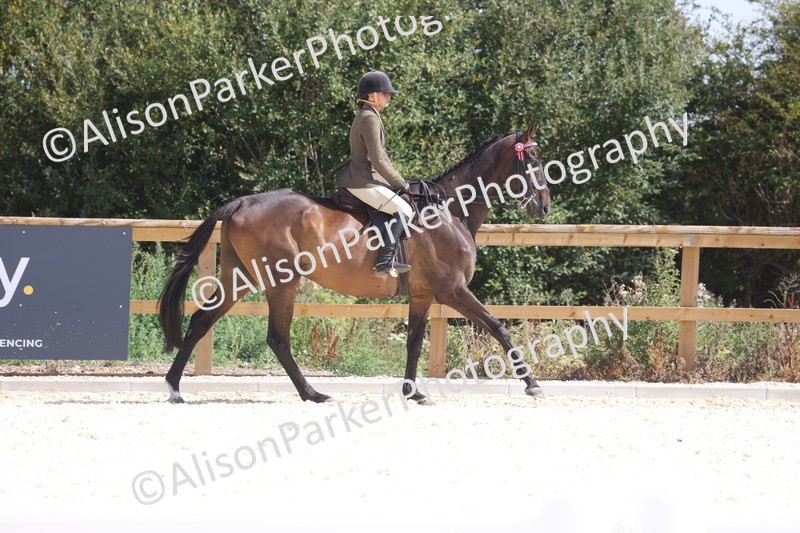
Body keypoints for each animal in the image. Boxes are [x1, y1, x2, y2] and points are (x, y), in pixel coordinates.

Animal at [158, 119, 551, 404]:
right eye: (532, 160)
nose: (545, 206)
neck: (450, 212)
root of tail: (243, 201)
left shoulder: (423, 295)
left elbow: (414, 342)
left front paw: (413, 393)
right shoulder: (452, 290)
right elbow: (499, 328)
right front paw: (532, 384)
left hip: (240, 275)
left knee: (202, 320)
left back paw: (175, 387)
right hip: (281, 279)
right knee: (277, 338)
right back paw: (313, 394)